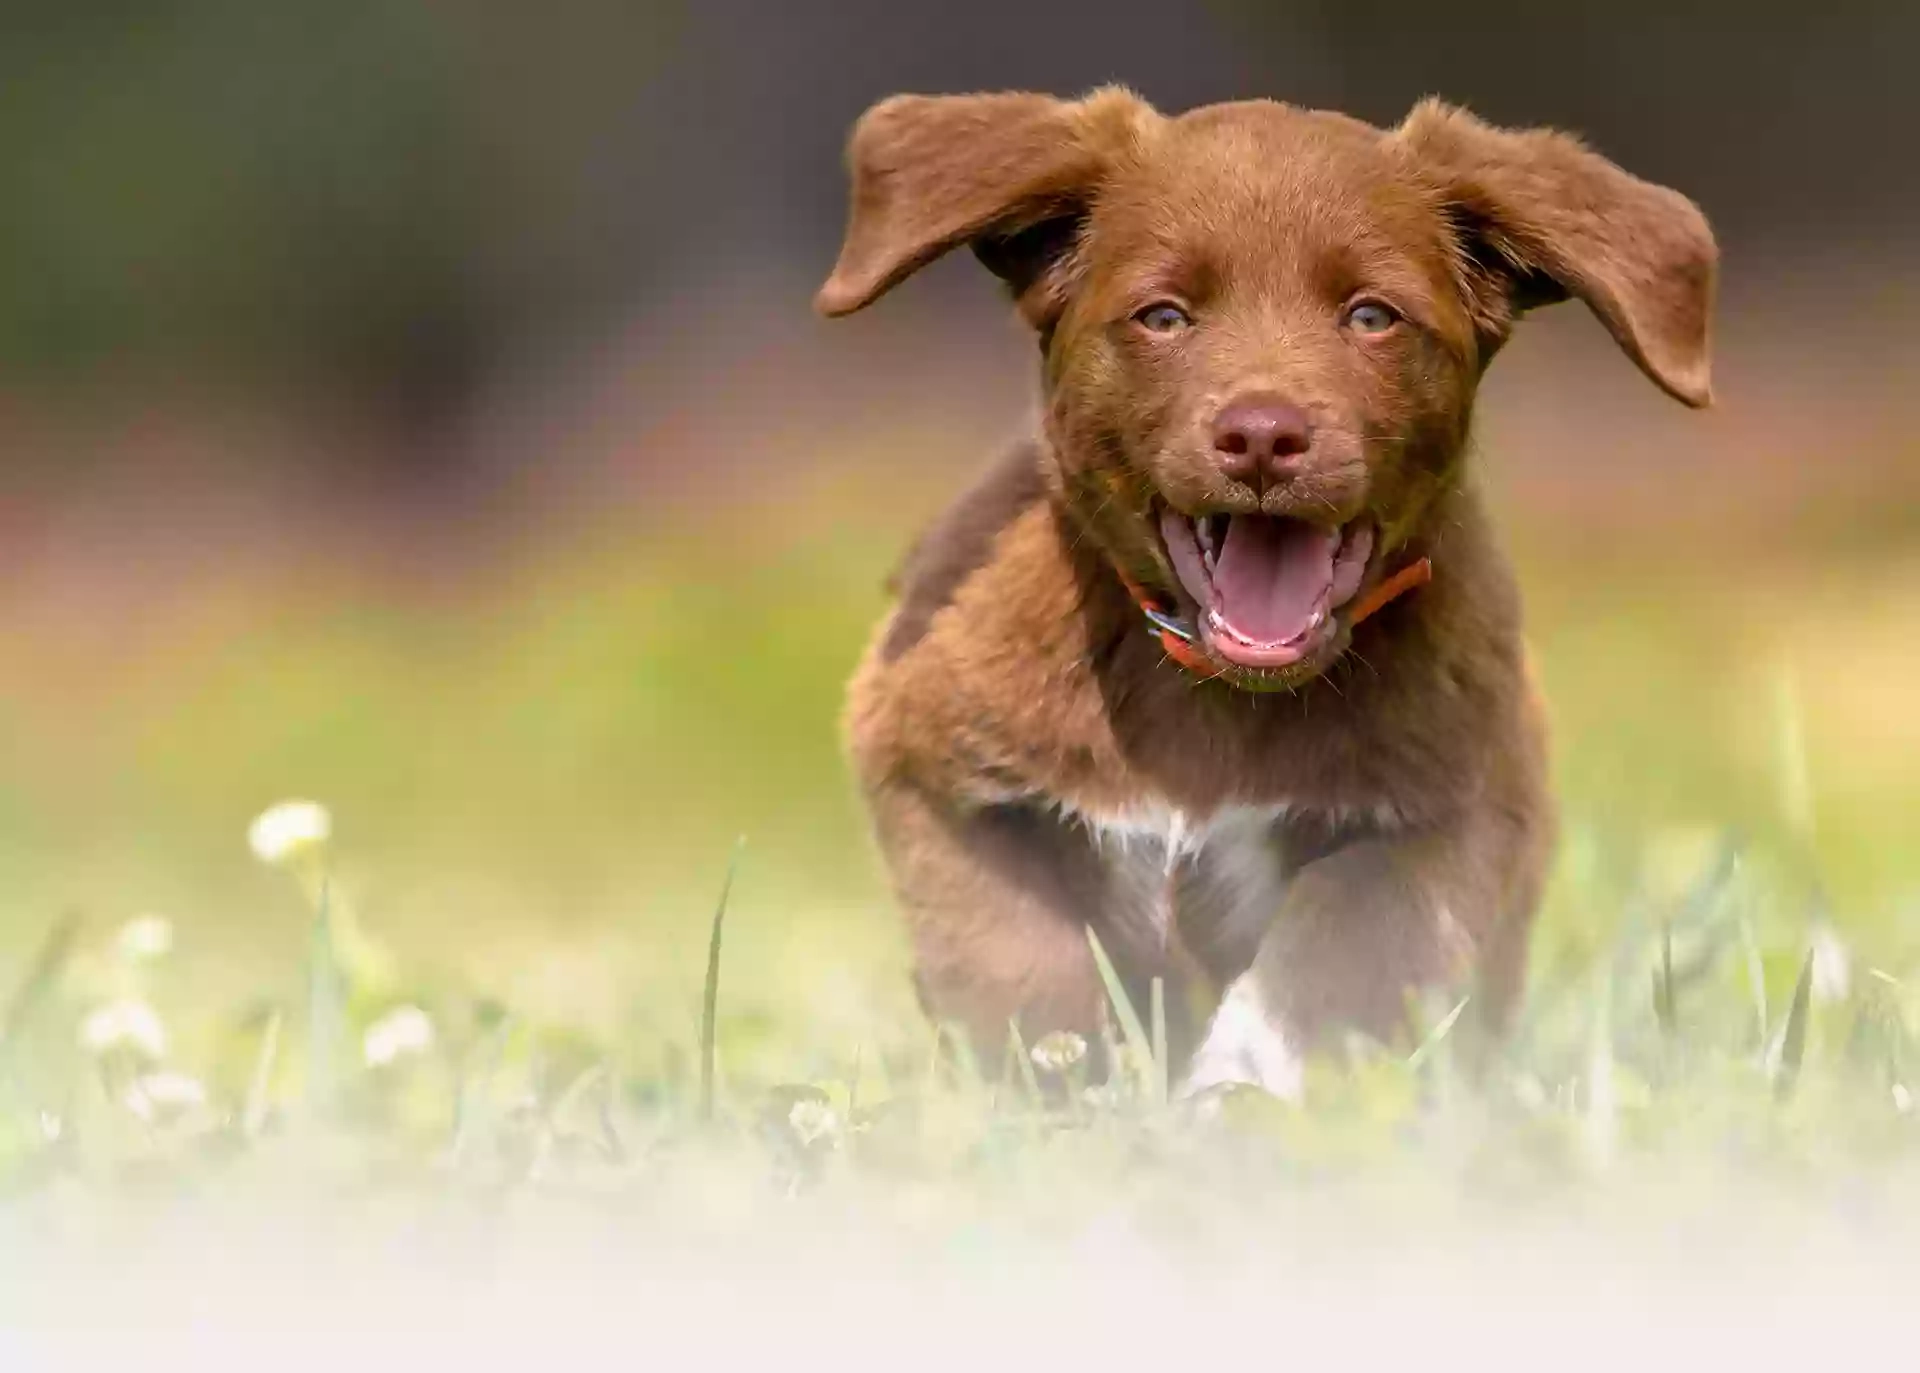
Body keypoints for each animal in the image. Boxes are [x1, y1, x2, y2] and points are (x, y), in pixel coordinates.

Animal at [817, 88, 1720, 1098]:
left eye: (1371, 316)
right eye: (1164, 316)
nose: (1261, 437)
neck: (1215, 691)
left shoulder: (1455, 811)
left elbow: (1335, 947)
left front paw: (1237, 1097)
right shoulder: (922, 757)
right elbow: (1016, 957)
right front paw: (1062, 1088)